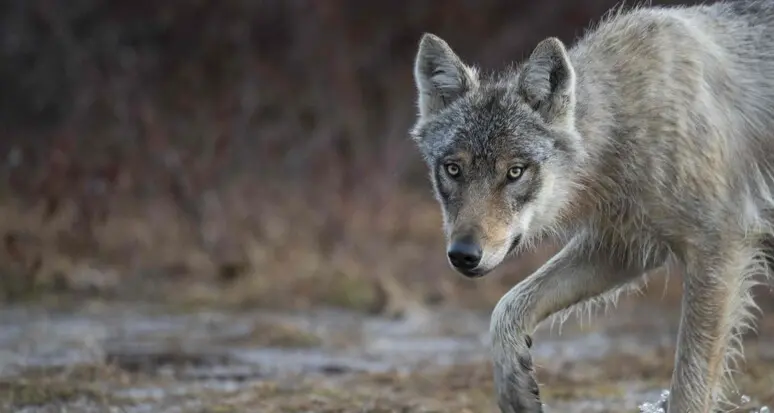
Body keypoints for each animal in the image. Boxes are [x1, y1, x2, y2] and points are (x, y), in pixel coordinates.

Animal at [409, 0, 774, 412]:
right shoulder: (624, 247)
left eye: (515, 172)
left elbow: (688, 387)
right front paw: (516, 389)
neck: (627, 122)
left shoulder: (719, 251)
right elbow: (506, 307)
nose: (463, 254)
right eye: (453, 169)